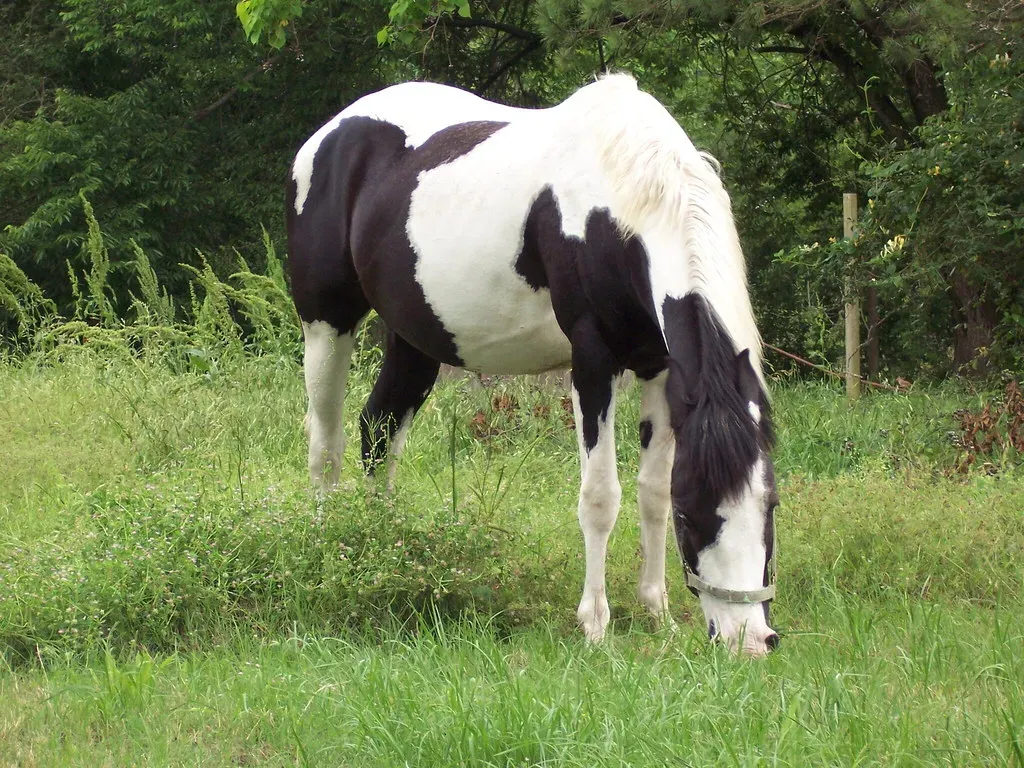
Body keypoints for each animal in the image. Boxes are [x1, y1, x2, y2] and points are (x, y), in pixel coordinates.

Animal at [286, 73, 780, 656]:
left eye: (770, 504)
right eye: (694, 514)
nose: (751, 640)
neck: (617, 204)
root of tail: (327, 135)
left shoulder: (659, 367)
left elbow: (651, 490)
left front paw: (656, 612)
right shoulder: (593, 363)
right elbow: (600, 496)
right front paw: (595, 624)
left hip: (414, 340)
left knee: (379, 431)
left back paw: (380, 549)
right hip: (326, 323)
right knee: (327, 445)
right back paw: (330, 551)